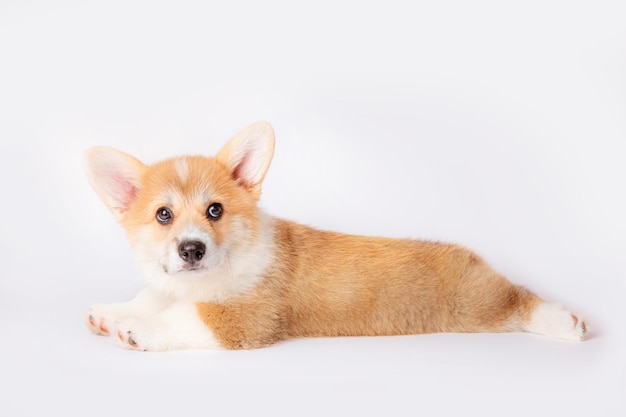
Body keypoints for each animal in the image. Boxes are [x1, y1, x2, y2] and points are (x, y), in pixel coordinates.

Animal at [83, 122, 584, 350]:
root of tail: (470, 256)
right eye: (163, 215)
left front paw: (137, 329)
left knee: (519, 299)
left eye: (215, 210)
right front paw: (111, 313)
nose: (192, 249)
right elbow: (150, 297)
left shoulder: (245, 318)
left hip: (475, 303)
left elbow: (182, 317)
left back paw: (564, 322)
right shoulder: (172, 286)